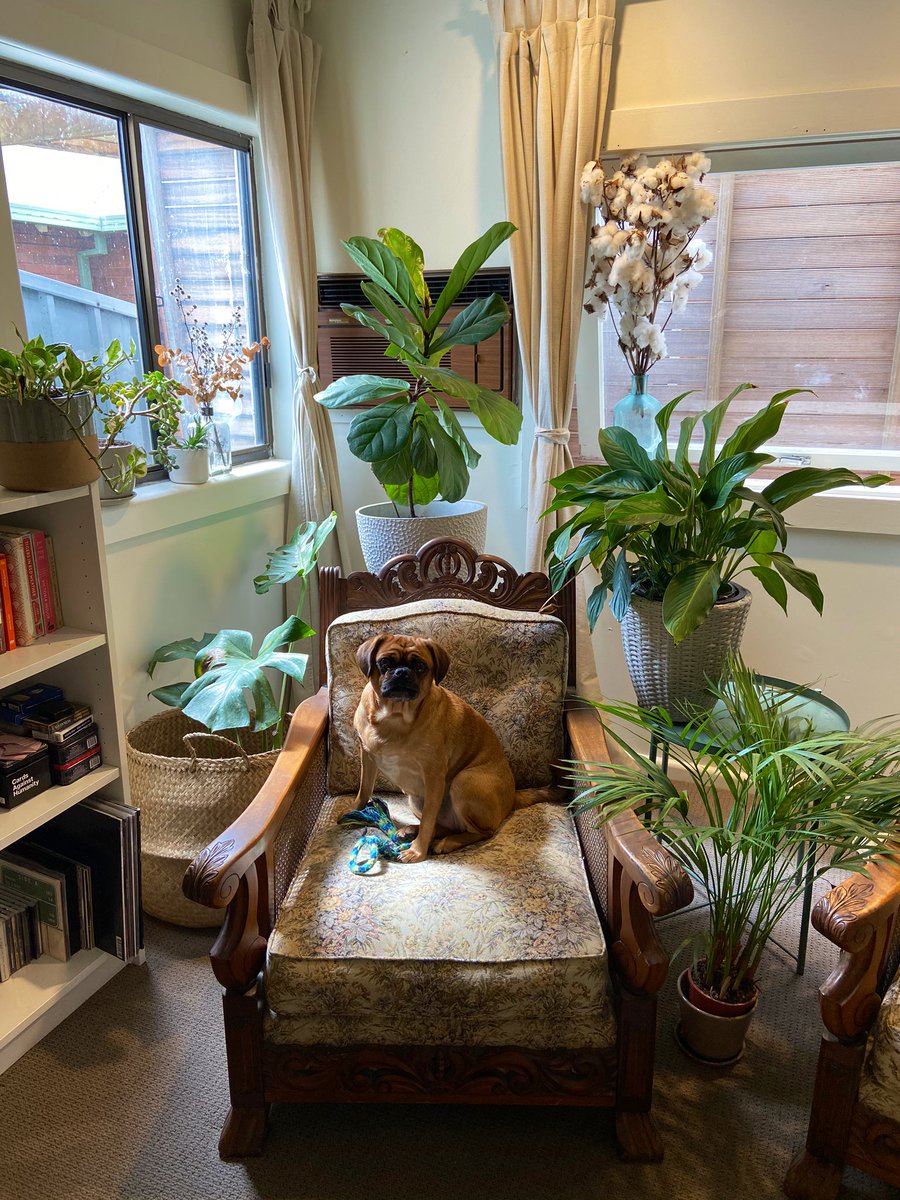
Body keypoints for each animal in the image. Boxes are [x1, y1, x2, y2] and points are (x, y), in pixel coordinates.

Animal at [353, 633, 551, 863]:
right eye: (385, 662)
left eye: (420, 666)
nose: (402, 672)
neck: (393, 716)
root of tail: (512, 798)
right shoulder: (367, 757)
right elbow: (364, 790)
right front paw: (354, 811)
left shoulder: (433, 777)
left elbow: (428, 821)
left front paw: (417, 851)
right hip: (415, 799)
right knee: (446, 826)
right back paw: (411, 830)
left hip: (464, 782)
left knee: (480, 832)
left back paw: (445, 842)